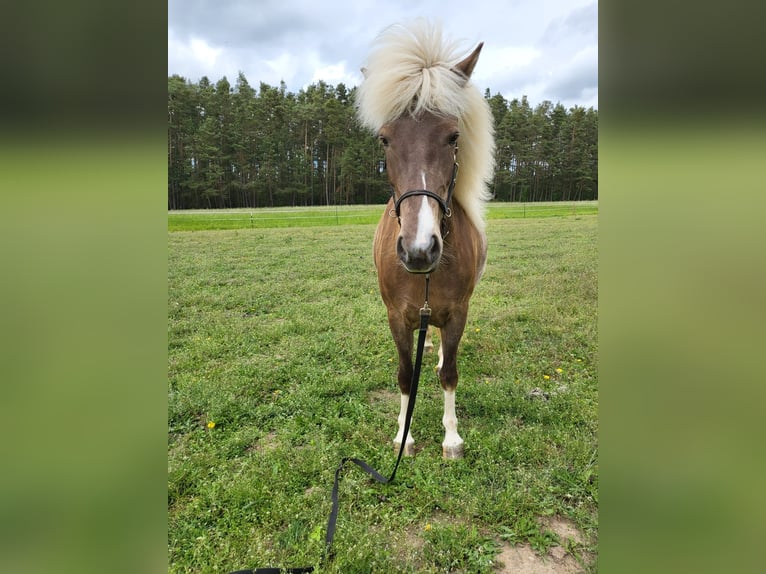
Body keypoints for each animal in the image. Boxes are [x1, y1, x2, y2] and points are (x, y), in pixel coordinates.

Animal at [356, 22, 496, 462]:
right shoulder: (397, 316)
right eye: (384, 139)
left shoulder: (458, 313)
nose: (419, 249)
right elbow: (405, 376)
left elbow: (450, 373)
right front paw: (404, 434)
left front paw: (451, 437)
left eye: (453, 136)